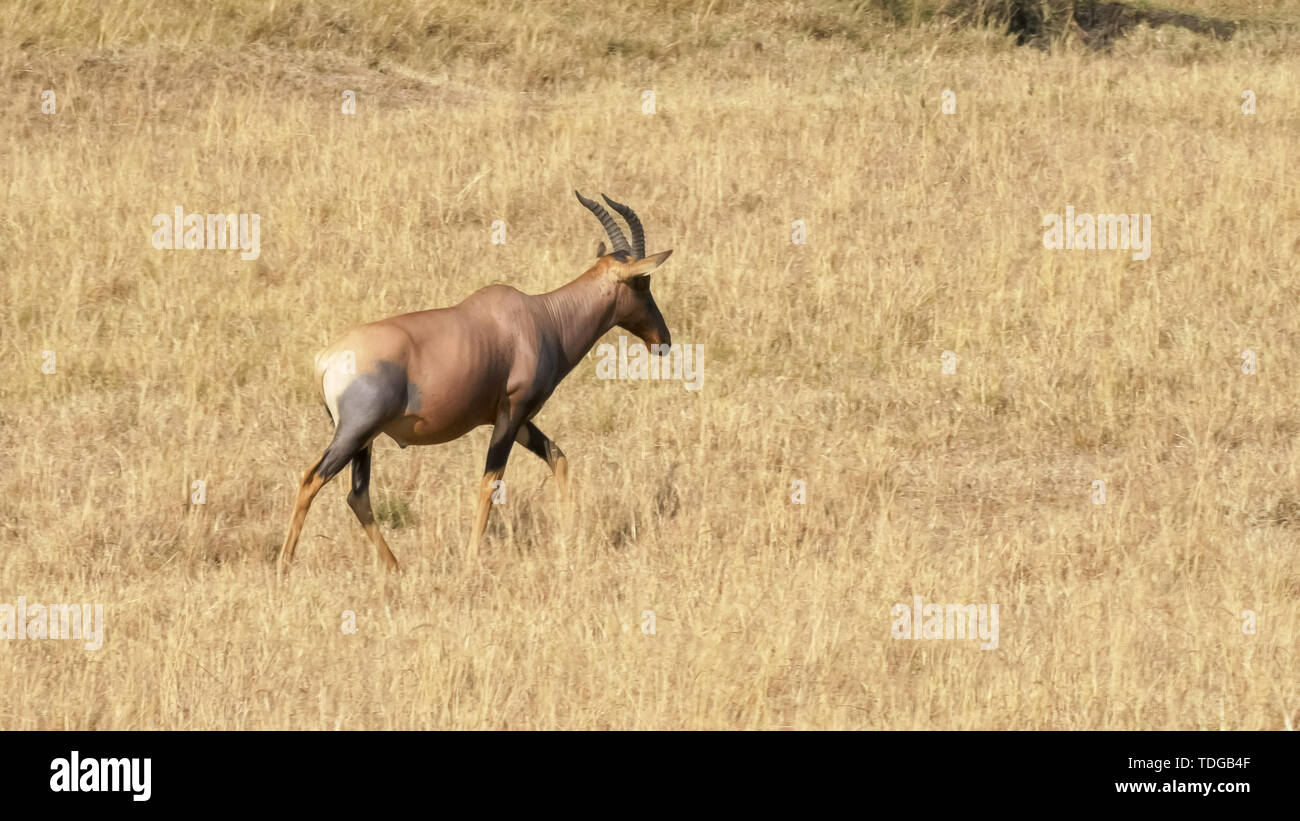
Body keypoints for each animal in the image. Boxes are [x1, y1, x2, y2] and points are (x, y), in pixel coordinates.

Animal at [278, 193, 676, 574]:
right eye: (643, 281)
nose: (663, 340)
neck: (540, 317)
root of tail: (327, 359)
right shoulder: (513, 410)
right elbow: (491, 481)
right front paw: (471, 559)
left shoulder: (514, 418)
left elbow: (558, 458)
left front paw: (569, 535)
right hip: (354, 433)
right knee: (311, 479)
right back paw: (285, 565)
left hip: (366, 439)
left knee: (358, 495)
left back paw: (396, 567)